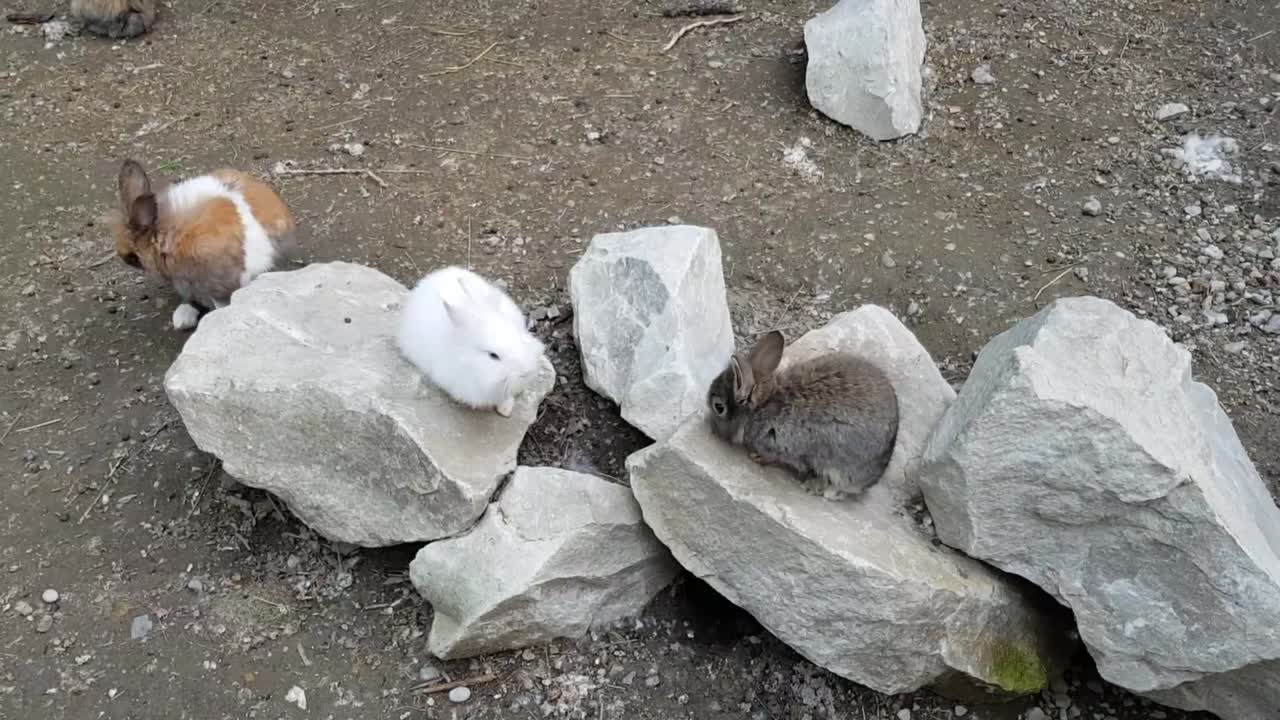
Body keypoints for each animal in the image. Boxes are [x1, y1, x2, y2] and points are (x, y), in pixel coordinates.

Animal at [705, 330, 899, 500]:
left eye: (718, 407)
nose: (712, 430)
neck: (762, 405)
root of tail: (875, 476)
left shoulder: (779, 445)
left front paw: (756, 457)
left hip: (840, 466)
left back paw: (816, 487)